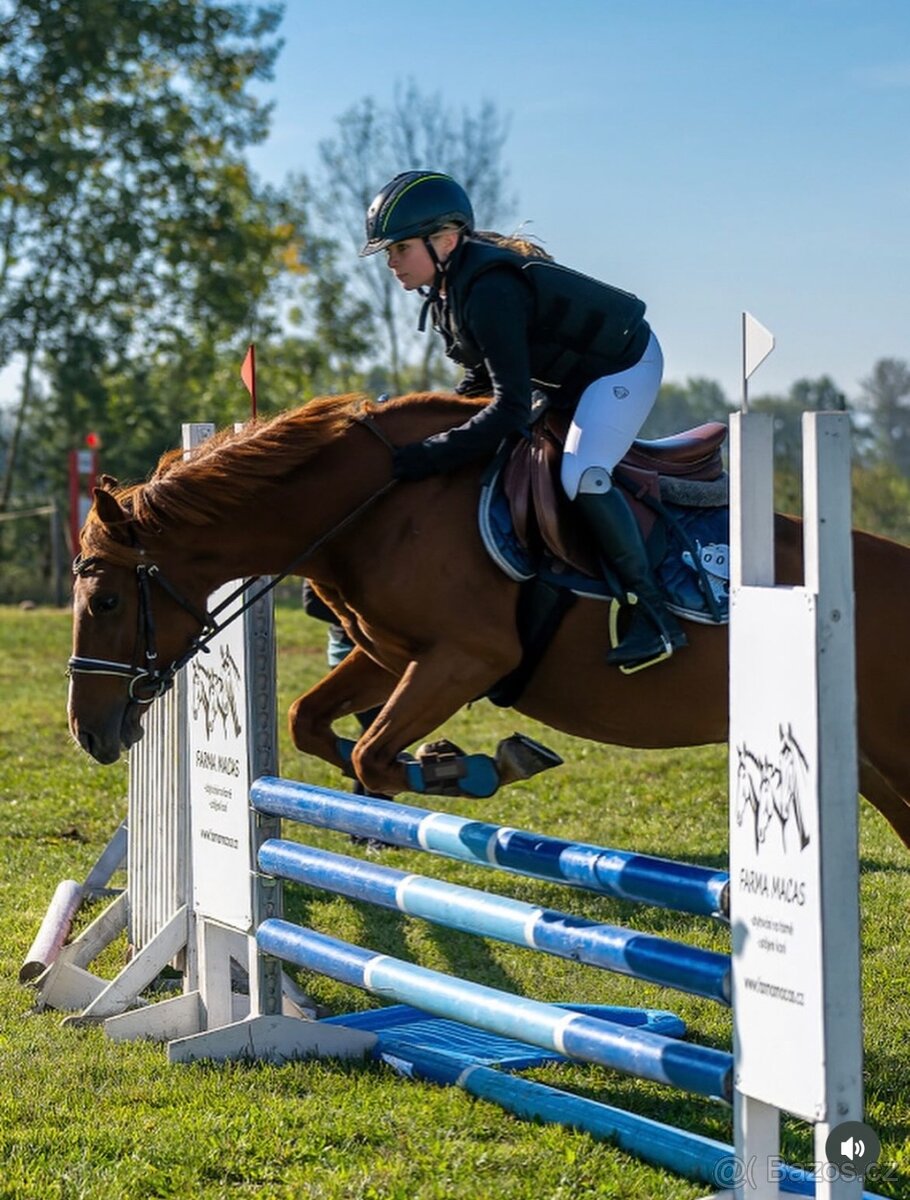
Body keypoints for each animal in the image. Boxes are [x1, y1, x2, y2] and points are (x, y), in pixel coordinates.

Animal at [67, 391, 910, 849]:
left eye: (105, 602)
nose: (89, 733)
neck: (371, 507)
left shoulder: (468, 658)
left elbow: (375, 751)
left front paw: (467, 766)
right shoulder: (388, 654)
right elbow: (316, 724)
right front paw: (415, 778)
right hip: (874, 769)